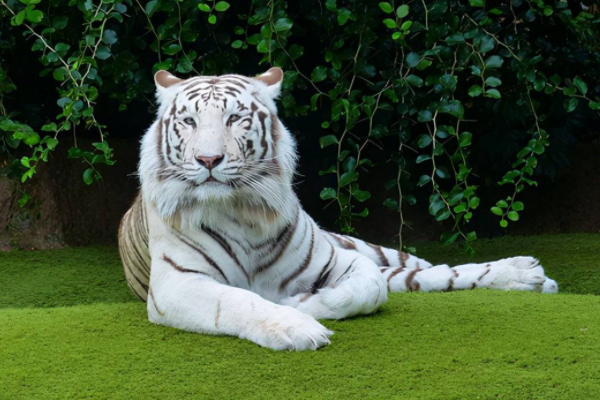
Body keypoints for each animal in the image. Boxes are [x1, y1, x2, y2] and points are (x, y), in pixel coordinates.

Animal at [119, 68, 560, 350]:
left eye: (236, 118)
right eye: (189, 122)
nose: (208, 160)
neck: (242, 211)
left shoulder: (341, 260)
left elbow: (368, 289)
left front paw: (300, 304)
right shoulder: (176, 283)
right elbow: (238, 300)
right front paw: (293, 326)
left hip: (373, 249)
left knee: (433, 271)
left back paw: (528, 274)